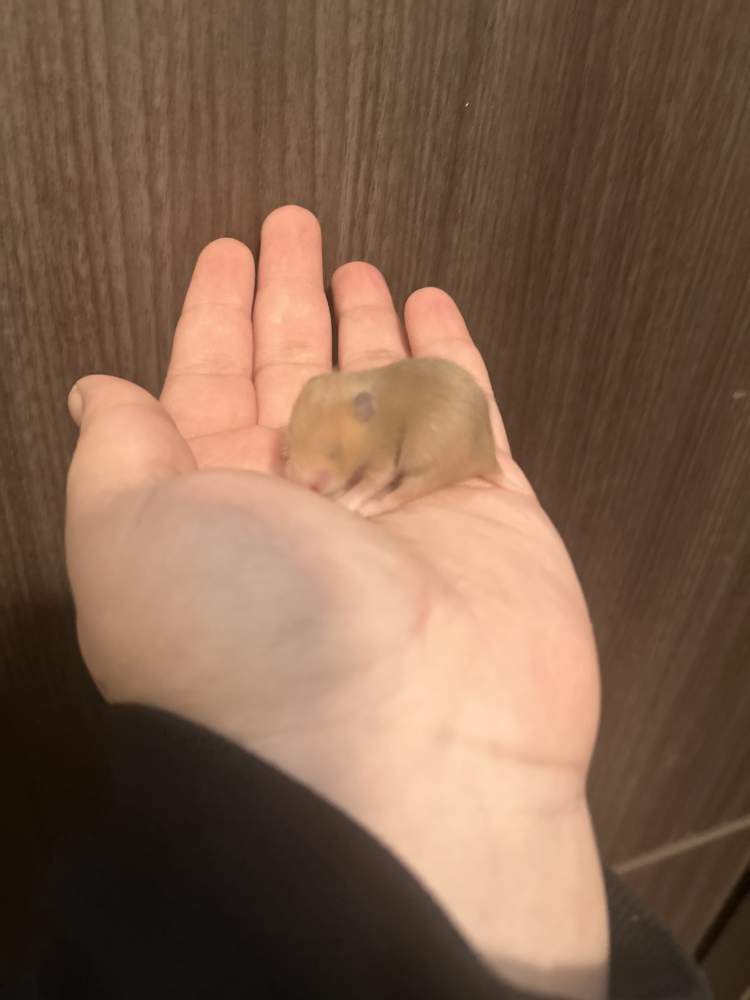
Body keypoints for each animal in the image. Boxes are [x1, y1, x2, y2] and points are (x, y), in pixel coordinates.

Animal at [284, 356, 500, 516]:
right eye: (293, 436)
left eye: (334, 451)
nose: (303, 484)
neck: (372, 424)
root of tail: (489, 458)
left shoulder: (384, 452)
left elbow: (376, 479)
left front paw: (344, 501)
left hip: (433, 463)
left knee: (402, 495)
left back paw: (366, 509)